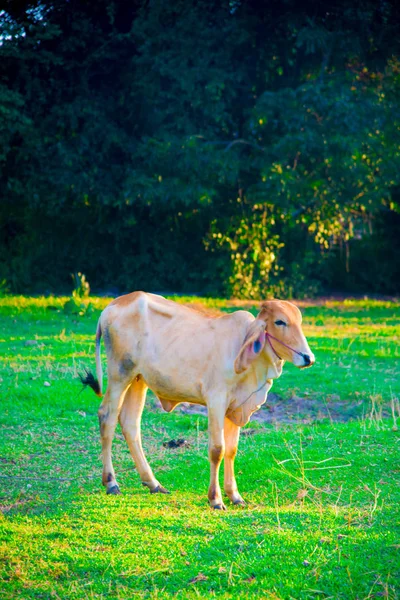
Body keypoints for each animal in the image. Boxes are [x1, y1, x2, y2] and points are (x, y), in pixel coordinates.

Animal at [79, 292, 314, 508]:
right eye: (280, 321)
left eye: (299, 321)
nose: (308, 358)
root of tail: (111, 306)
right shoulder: (216, 401)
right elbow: (217, 450)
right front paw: (216, 499)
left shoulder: (236, 407)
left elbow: (231, 450)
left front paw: (235, 496)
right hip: (120, 374)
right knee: (107, 417)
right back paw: (111, 483)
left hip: (138, 380)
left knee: (130, 423)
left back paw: (153, 483)